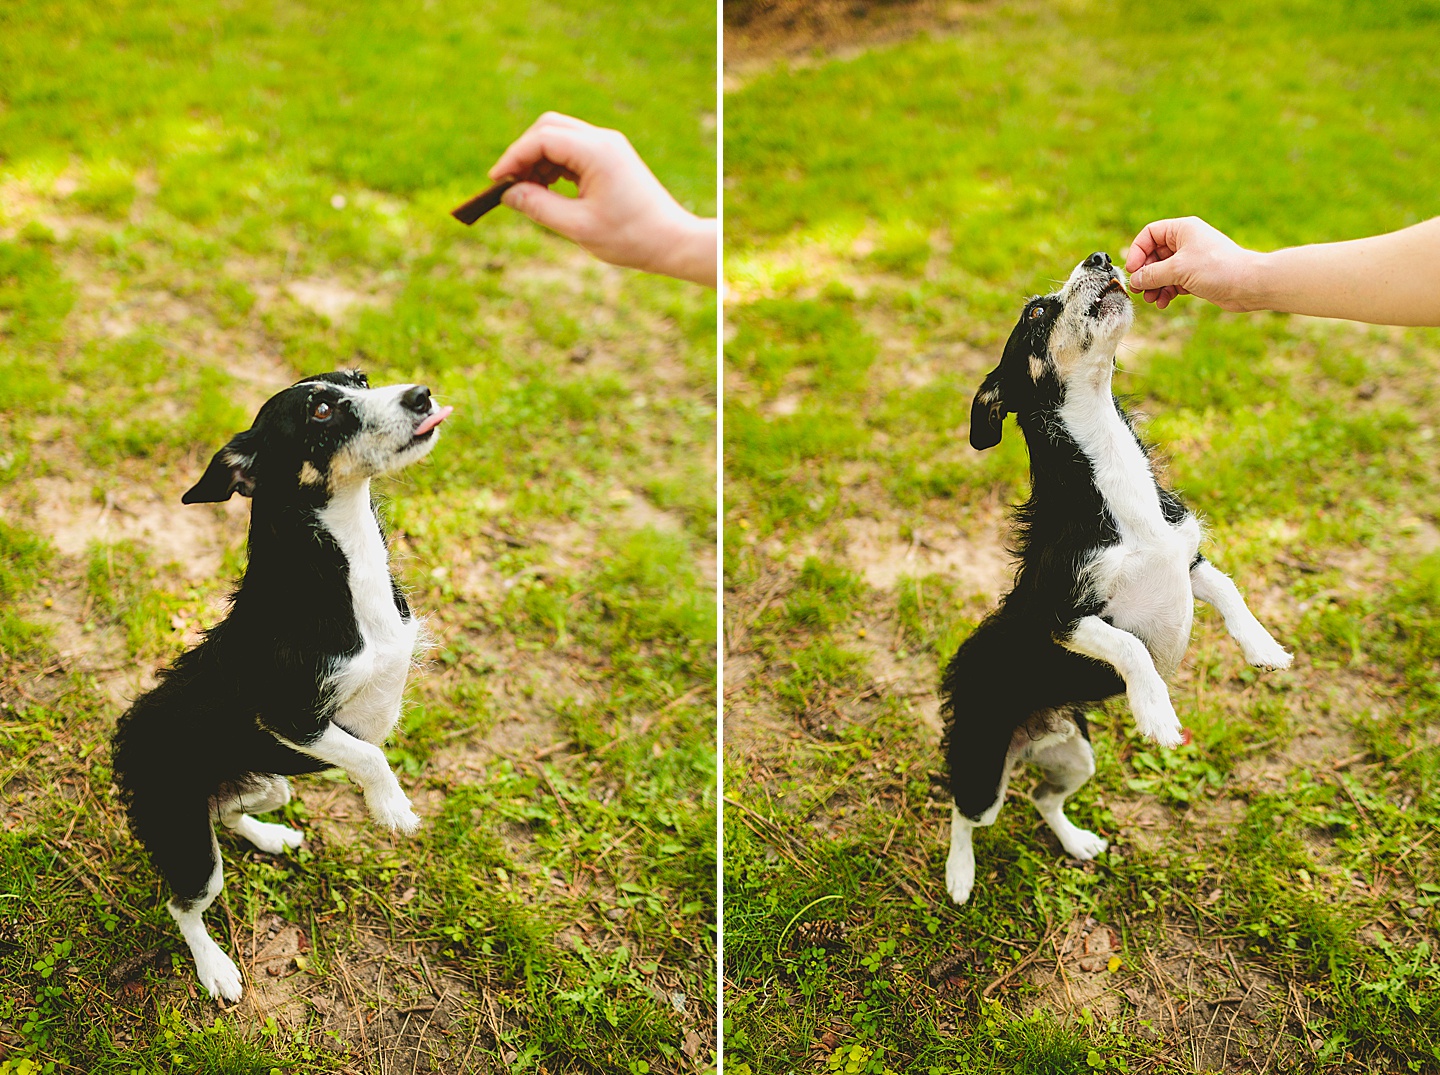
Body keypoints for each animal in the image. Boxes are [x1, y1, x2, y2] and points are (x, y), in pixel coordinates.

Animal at [110, 371, 449, 1001]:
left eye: (361, 380)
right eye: (320, 411)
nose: (422, 395)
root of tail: (126, 739)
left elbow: (370, 743)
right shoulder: (292, 718)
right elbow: (369, 755)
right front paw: (393, 809)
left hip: (269, 785)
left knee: (231, 812)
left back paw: (270, 836)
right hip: (189, 843)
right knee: (183, 904)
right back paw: (215, 968)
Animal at [938, 254, 1301, 909]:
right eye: (1037, 310)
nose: (1101, 259)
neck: (1110, 470)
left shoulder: (1187, 561)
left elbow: (1229, 590)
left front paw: (1264, 649)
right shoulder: (1060, 616)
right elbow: (1130, 646)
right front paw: (1155, 712)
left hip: (1075, 755)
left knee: (1043, 799)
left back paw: (1077, 842)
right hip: (982, 767)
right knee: (964, 812)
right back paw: (960, 875)